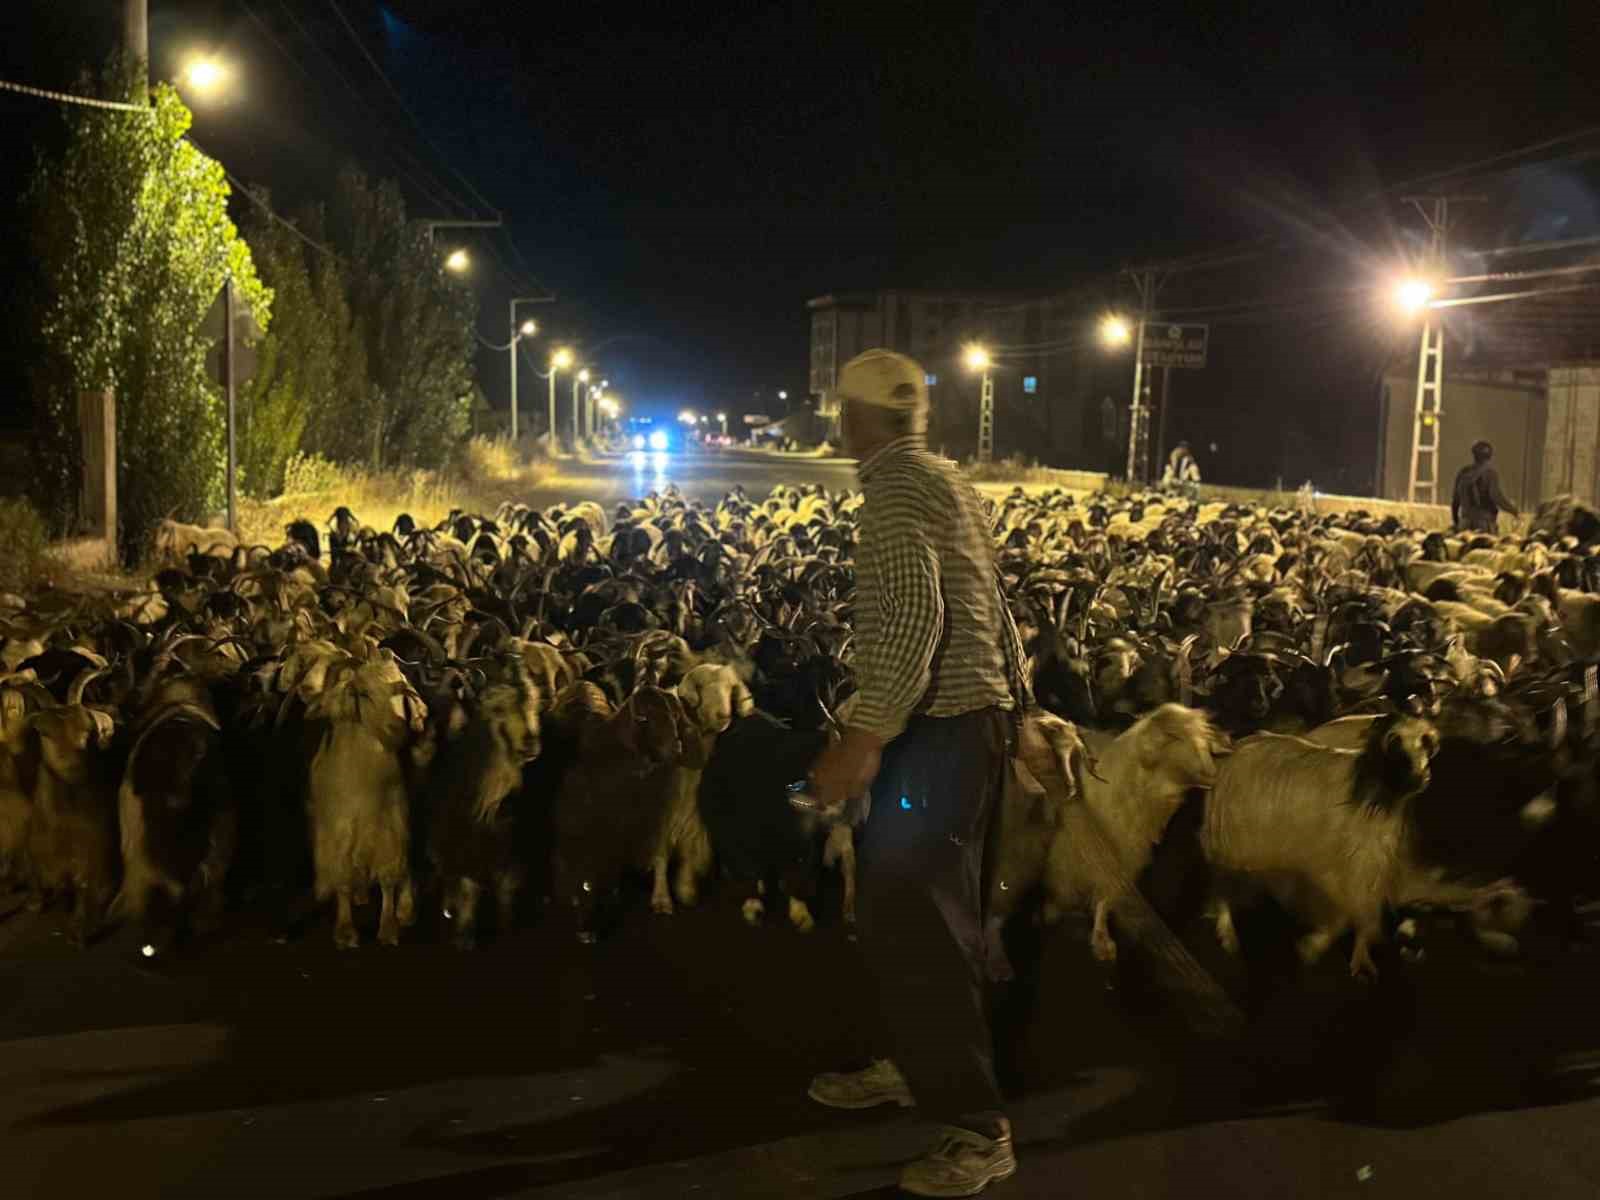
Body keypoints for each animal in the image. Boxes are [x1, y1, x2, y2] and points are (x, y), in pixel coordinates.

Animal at [1203, 713, 1446, 979]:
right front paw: (1311, 948)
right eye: (1393, 742)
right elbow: (1340, 915)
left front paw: (1360, 958)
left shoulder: (1369, 867)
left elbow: (1363, 914)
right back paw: (1227, 933)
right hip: (1230, 842)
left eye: (1427, 743)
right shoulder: (1328, 868)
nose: (1421, 777)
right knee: (1221, 888)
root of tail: (1234, 750)